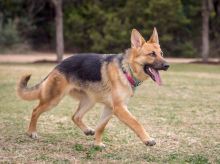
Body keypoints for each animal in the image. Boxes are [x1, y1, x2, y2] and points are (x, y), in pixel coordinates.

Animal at [17, 27, 169, 147]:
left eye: (161, 54)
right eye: (152, 54)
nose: (167, 65)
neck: (126, 69)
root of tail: (58, 65)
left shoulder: (110, 109)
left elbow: (101, 127)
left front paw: (97, 144)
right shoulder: (120, 109)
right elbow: (136, 122)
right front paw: (147, 139)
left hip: (89, 101)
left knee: (75, 116)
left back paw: (87, 130)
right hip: (53, 100)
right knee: (35, 111)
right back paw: (31, 132)